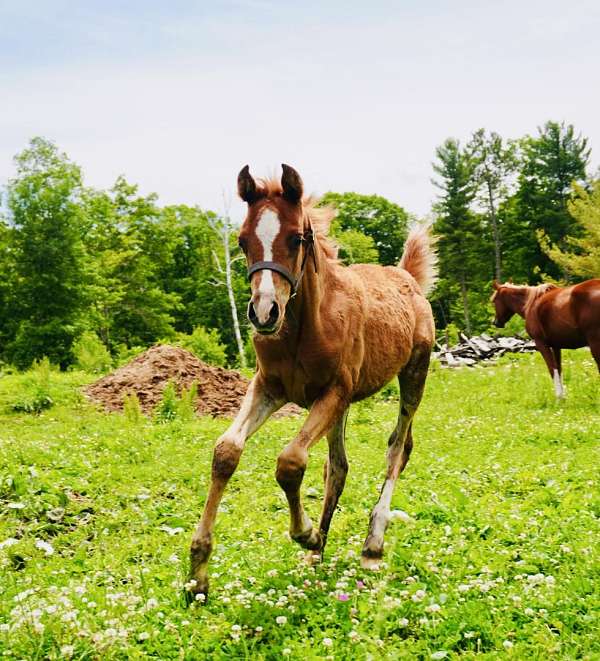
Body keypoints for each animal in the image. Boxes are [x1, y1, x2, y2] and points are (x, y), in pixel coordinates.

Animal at [187, 164, 438, 599]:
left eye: (296, 238)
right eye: (242, 240)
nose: (264, 313)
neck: (305, 326)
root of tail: (406, 277)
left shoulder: (333, 391)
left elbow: (290, 462)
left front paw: (304, 533)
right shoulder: (269, 388)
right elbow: (226, 452)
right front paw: (197, 572)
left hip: (413, 376)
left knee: (397, 450)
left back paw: (371, 544)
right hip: (345, 405)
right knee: (338, 466)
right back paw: (318, 553)